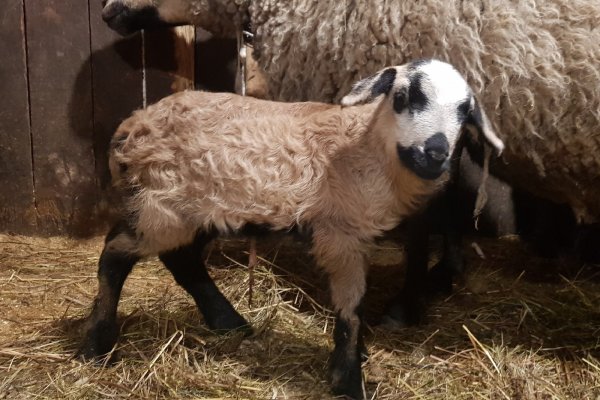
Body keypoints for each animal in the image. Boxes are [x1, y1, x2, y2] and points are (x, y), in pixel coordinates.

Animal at [78, 60, 502, 400]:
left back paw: (228, 322)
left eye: (465, 111)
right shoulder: (341, 233)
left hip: (195, 210)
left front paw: (355, 360)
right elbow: (351, 308)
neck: (366, 146)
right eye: (403, 96)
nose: (435, 153)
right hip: (161, 203)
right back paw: (96, 346)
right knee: (115, 254)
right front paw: (348, 380)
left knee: (181, 259)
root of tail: (131, 126)